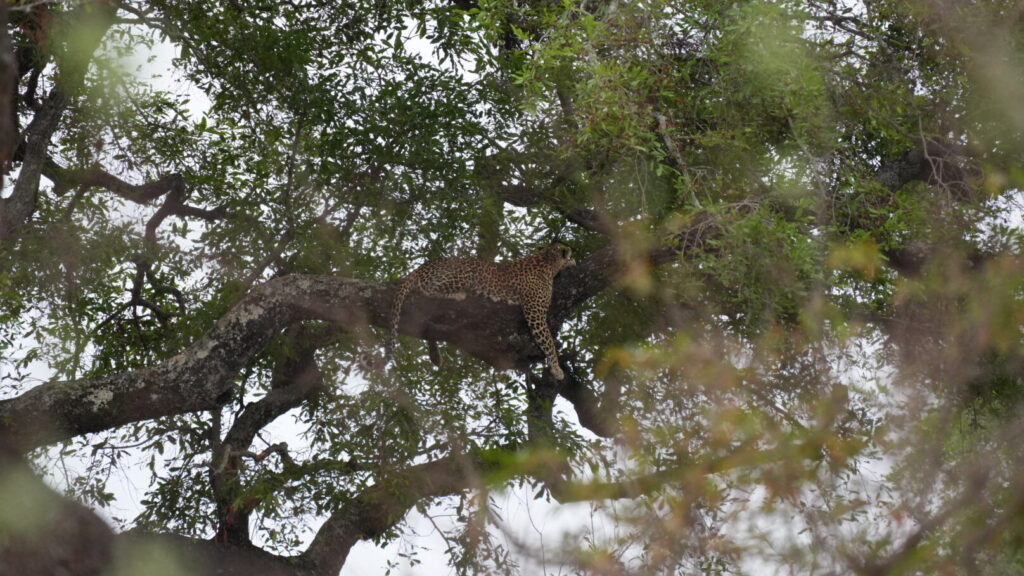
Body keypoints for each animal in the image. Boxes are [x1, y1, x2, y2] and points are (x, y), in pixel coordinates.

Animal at [386, 245, 575, 380]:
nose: (572, 258)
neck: (546, 260)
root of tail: (421, 267)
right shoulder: (535, 313)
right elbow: (549, 342)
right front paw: (557, 369)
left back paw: (435, 355)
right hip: (463, 273)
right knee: (427, 290)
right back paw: (458, 295)